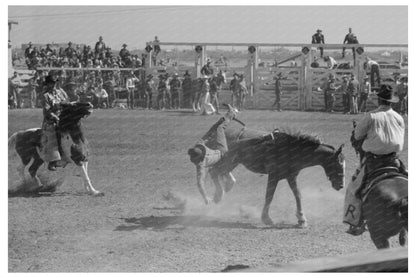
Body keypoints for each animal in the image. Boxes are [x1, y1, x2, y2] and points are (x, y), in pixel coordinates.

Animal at [188, 120, 344, 228]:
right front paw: (267, 219)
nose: (341, 185)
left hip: (233, 162)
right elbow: (269, 196)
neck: (290, 148)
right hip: (227, 160)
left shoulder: (291, 177)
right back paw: (219, 195)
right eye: (338, 165)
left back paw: (225, 188)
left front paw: (301, 219)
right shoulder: (273, 176)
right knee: (214, 171)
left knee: (220, 172)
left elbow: (298, 195)